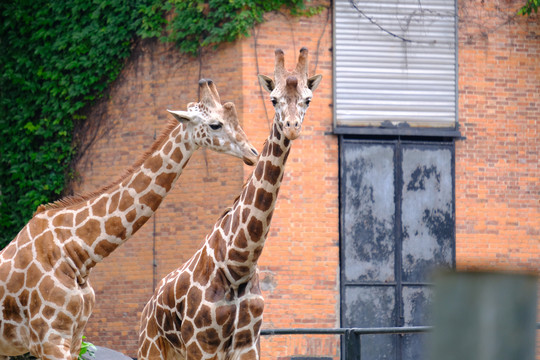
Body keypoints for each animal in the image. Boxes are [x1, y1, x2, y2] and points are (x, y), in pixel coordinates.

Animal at [138, 47, 320, 360]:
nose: (291, 127)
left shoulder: (249, 343)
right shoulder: (202, 345)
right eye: (273, 99)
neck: (239, 264)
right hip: (151, 349)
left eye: (307, 98)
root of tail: (148, 308)